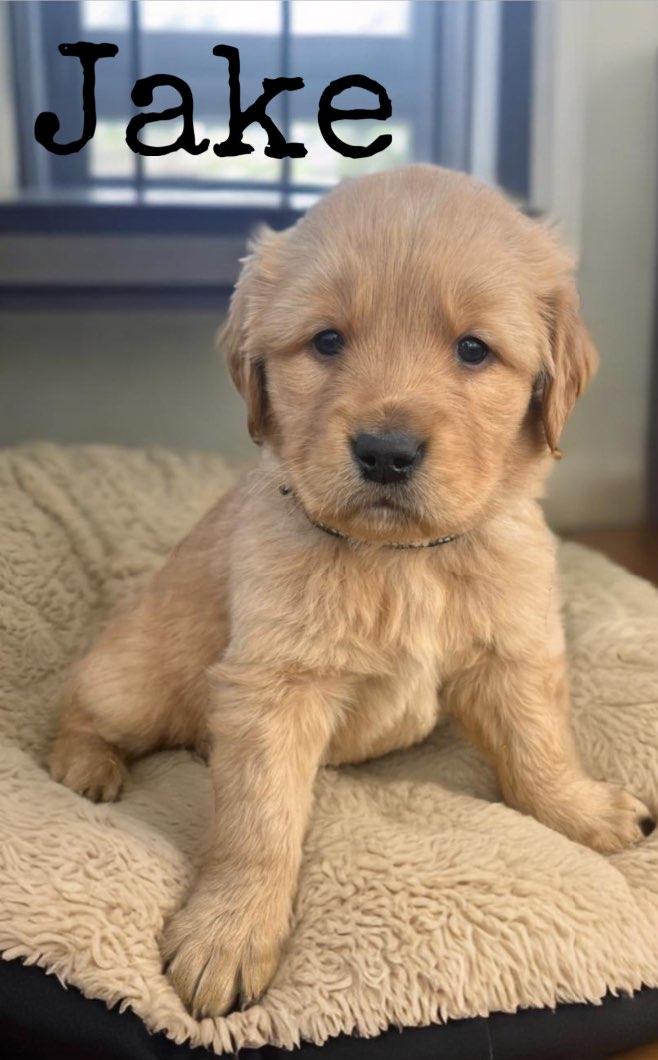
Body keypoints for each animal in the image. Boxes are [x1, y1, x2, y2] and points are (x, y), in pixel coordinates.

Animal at [48, 165, 652, 1017]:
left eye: (474, 350)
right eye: (327, 341)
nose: (386, 452)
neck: (403, 560)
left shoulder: (512, 652)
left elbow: (538, 746)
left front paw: (583, 810)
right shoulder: (272, 685)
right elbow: (260, 824)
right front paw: (231, 933)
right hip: (133, 678)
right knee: (79, 705)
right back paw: (87, 766)